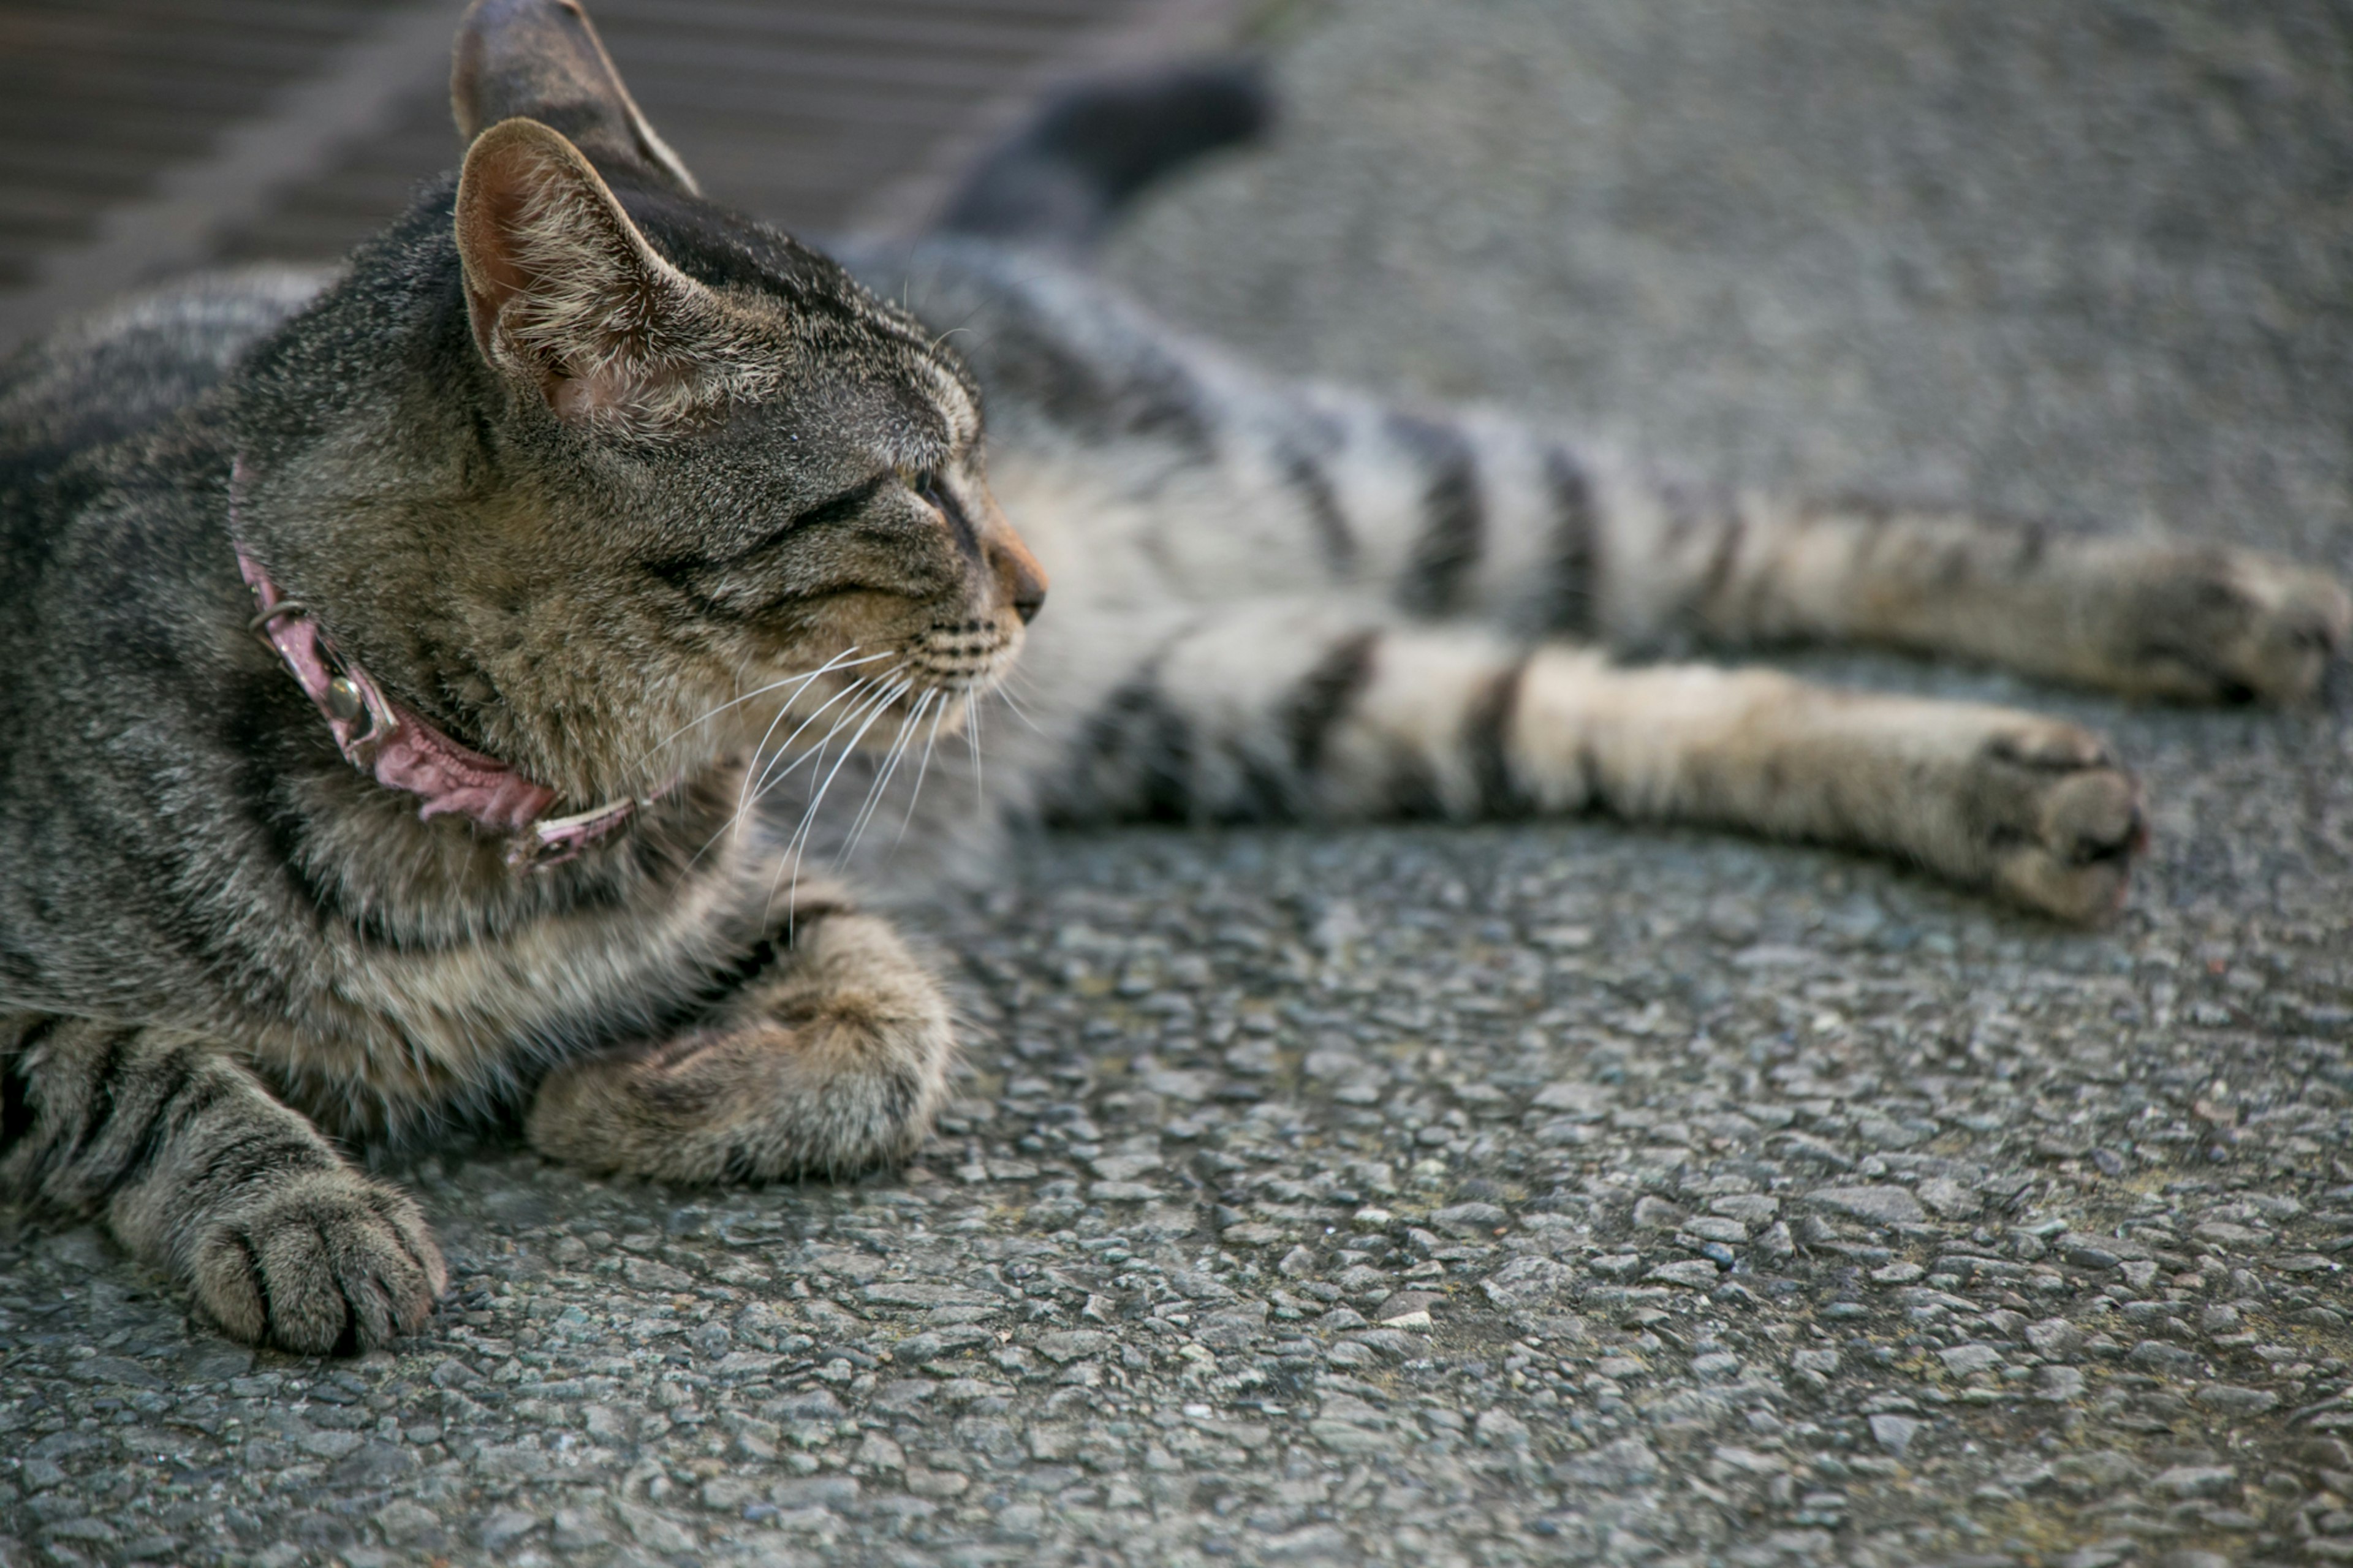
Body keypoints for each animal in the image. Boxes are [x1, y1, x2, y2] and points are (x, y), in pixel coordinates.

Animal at [4, 0, 2353, 1346]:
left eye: (965, 450)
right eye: (908, 486)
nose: (1027, 563)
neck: (502, 823)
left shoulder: (792, 878)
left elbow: (889, 1037)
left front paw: (623, 1097)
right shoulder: (17, 1005)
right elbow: (144, 1069)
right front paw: (314, 1207)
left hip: (1411, 488)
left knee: (1768, 533)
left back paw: (2182, 613)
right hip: (1280, 689)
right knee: (1647, 695)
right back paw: (2016, 781)